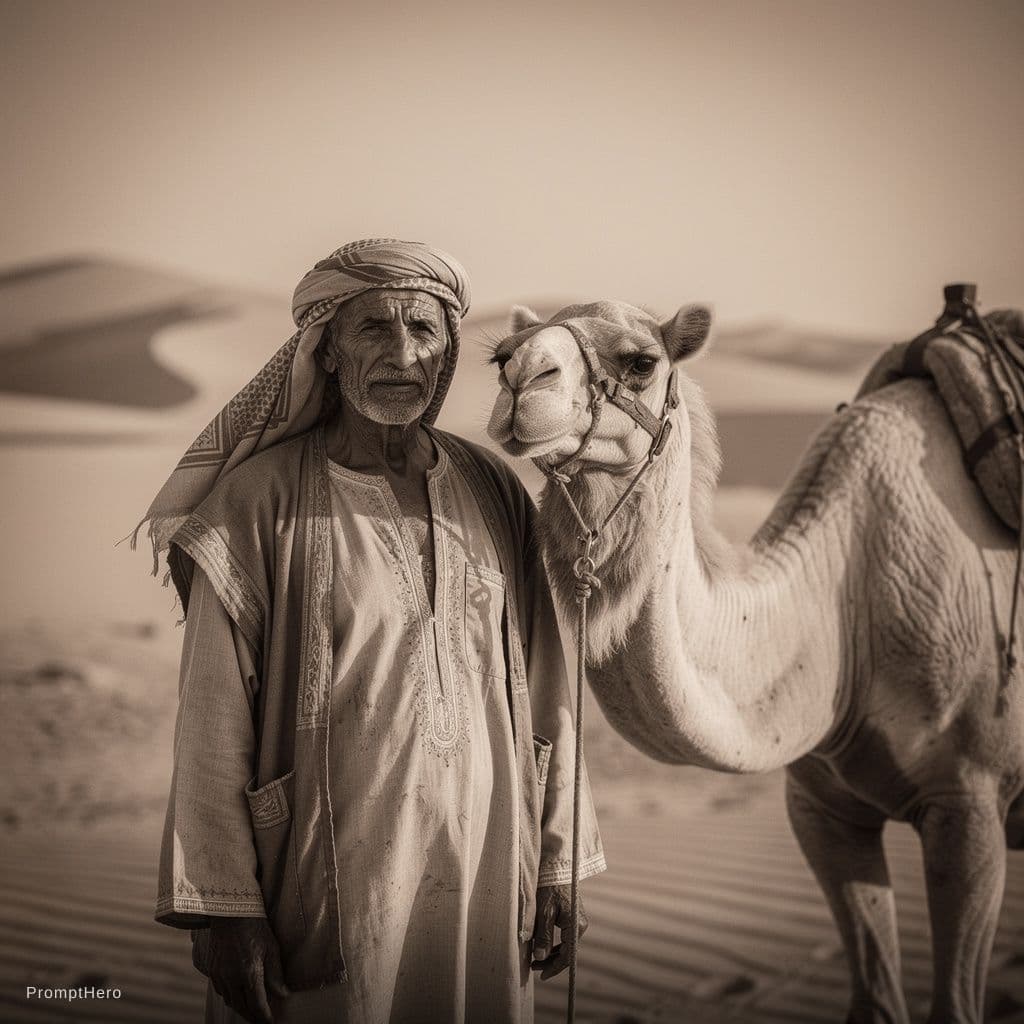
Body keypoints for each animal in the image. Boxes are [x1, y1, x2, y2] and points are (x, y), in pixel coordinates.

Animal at [484, 300, 1024, 1024]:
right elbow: (875, 998)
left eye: (642, 361)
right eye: (499, 355)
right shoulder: (821, 808)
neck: (844, 612)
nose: (522, 380)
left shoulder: (969, 803)